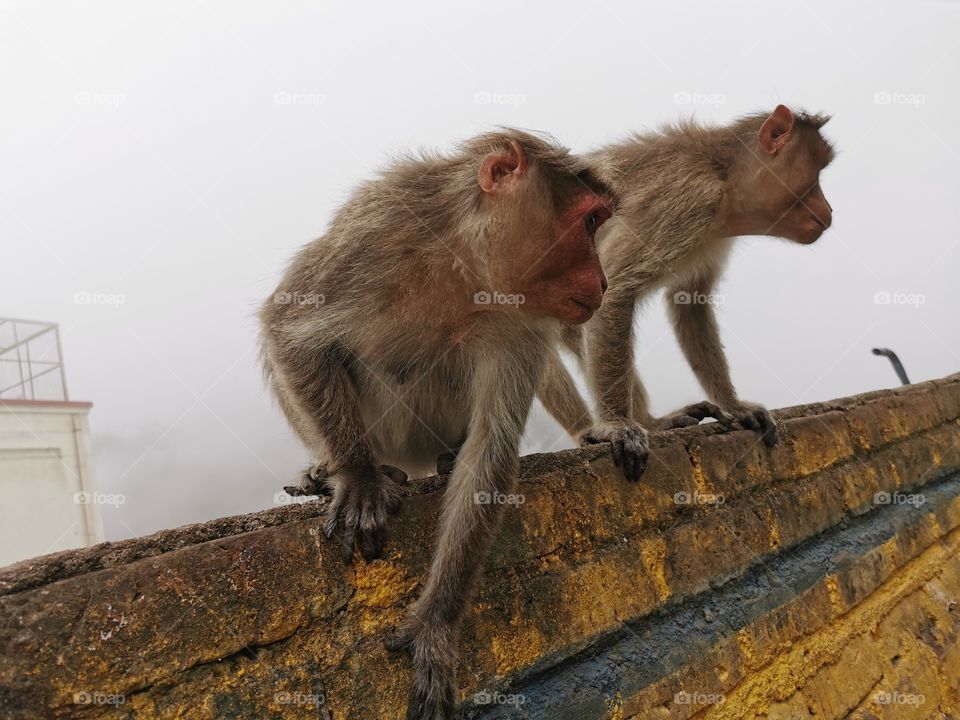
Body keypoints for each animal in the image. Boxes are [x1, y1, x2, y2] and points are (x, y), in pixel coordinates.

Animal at [258, 129, 615, 719]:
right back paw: (340, 469)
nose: (604, 281)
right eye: (588, 222)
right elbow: (289, 328)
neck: (465, 267)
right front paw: (358, 476)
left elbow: (488, 454)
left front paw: (435, 624)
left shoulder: (518, 319)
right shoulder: (375, 233)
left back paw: (444, 460)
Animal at [538, 105, 834, 481]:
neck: (723, 175)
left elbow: (690, 303)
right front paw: (618, 427)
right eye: (817, 171)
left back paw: (653, 422)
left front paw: (735, 406)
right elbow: (617, 288)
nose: (829, 209)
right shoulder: (686, 201)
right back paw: (590, 431)